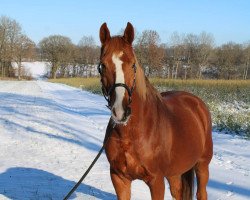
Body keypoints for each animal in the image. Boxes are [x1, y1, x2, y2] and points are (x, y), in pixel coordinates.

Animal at [97, 22, 213, 199]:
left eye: (133, 64)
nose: (120, 111)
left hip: (202, 165)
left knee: (201, 193)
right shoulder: (119, 178)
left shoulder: (156, 181)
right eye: (102, 65)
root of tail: (196, 102)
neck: (133, 134)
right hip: (175, 173)